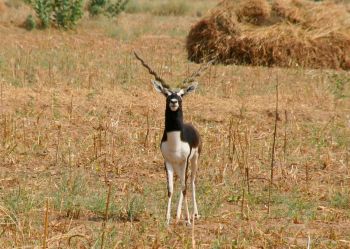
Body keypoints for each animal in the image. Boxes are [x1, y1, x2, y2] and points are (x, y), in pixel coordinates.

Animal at [133, 51, 211, 225]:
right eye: (166, 94)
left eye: (181, 94)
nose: (174, 101)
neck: (175, 141)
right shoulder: (167, 161)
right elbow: (170, 189)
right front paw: (168, 219)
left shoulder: (185, 161)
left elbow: (185, 187)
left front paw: (188, 221)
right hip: (177, 165)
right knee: (180, 182)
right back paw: (178, 214)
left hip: (194, 160)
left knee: (191, 182)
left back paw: (194, 214)